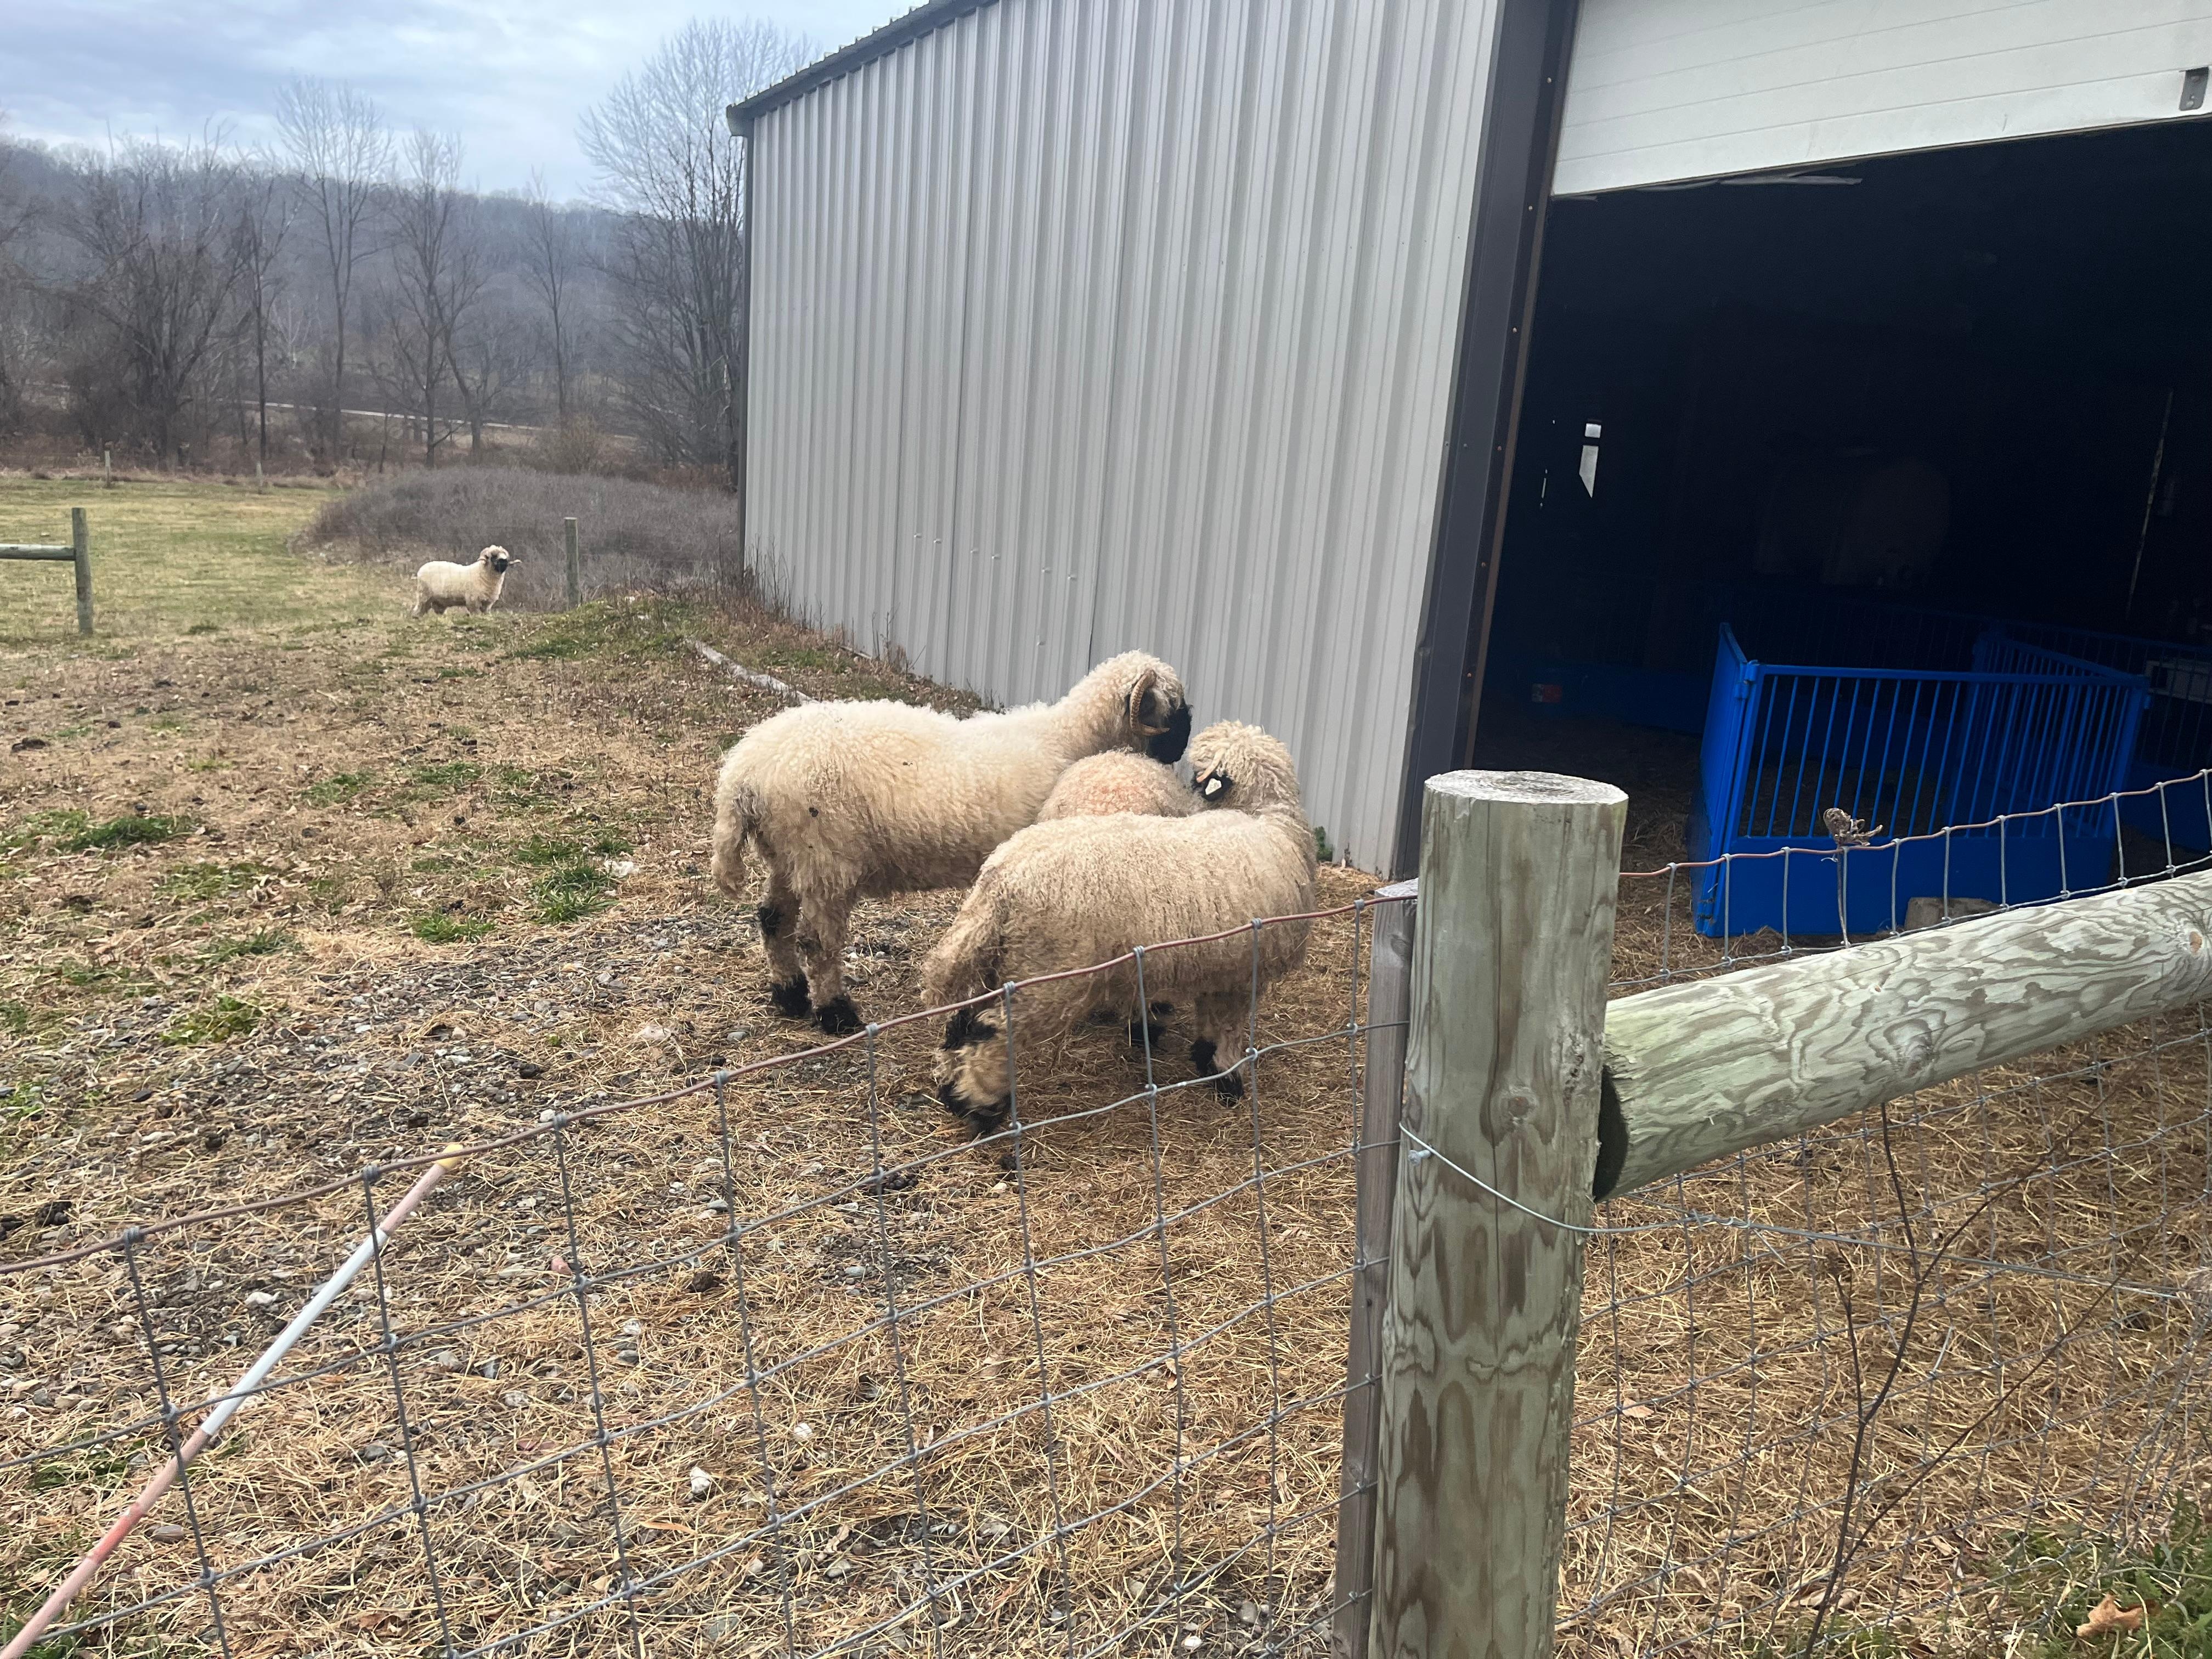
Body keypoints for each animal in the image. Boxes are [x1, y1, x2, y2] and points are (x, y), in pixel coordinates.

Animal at [412, 546, 518, 617]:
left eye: (506, 557)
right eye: (494, 556)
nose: (504, 562)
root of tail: (421, 570)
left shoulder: (487, 604)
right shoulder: (473, 601)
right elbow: (476, 614)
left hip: (437, 601)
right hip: (424, 596)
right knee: (418, 610)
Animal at [710, 650, 1192, 1035]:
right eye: (1173, 709)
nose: (1181, 752)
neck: (1069, 738)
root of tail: (743, 771)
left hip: (789, 856)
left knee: (773, 920)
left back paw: (789, 996)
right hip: (824, 857)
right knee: (816, 942)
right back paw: (836, 1013)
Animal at [920, 720, 1316, 1133]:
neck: (1267, 817)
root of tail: (1000, 880)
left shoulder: (1221, 961)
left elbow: (1211, 1017)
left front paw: (1206, 1058)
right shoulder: (1244, 968)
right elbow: (1229, 1025)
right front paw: (1228, 1077)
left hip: (1006, 963)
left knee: (965, 1022)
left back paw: (952, 1093)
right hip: (1048, 976)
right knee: (995, 1034)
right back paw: (981, 1105)